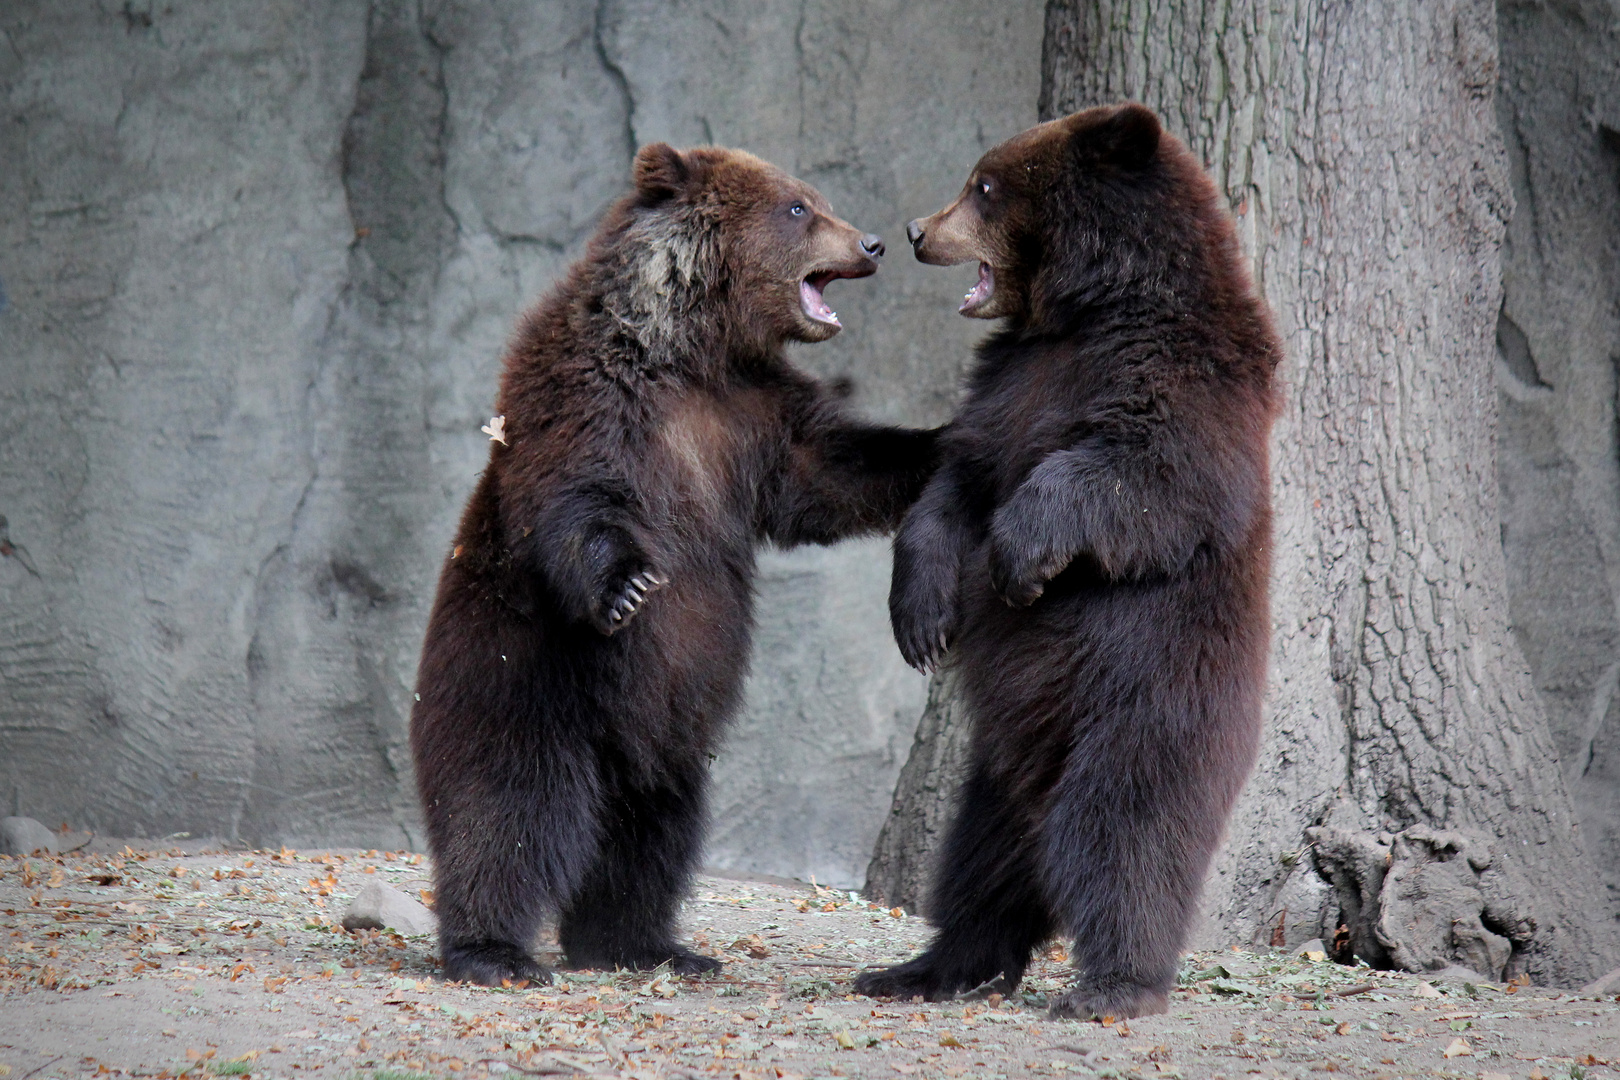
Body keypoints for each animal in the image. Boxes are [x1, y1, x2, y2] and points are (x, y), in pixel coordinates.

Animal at [408, 143, 939, 990]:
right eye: (798, 206)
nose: (874, 242)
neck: (695, 350)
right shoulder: (592, 397)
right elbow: (578, 498)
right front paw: (629, 585)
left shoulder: (755, 418)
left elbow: (833, 470)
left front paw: (944, 441)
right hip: (522, 681)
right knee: (509, 813)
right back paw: (493, 950)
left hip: (666, 733)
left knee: (652, 836)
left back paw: (647, 943)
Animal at [855, 103, 1283, 1023]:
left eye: (984, 186)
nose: (915, 231)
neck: (1085, 310)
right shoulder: (1008, 382)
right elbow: (956, 482)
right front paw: (921, 617)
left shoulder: (1184, 376)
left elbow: (1144, 472)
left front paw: (1021, 558)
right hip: (999, 768)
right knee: (981, 862)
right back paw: (926, 967)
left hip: (1150, 697)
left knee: (1124, 834)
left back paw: (1114, 982)